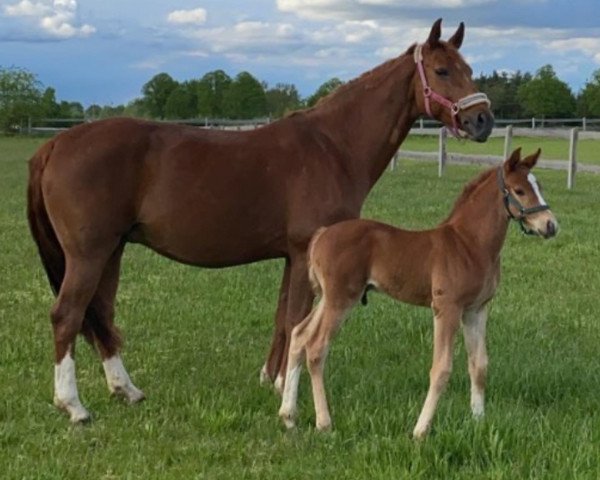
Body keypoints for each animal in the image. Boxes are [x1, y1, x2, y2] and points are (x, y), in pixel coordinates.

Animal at [278, 149, 560, 438]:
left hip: (328, 298)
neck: (469, 244)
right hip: (340, 299)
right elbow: (441, 368)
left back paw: (289, 416)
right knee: (316, 347)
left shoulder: (476, 310)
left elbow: (479, 365)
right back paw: (324, 423)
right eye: (520, 190)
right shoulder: (447, 308)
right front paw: (420, 431)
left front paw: (479, 421)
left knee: (299, 335)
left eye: (540, 186)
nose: (550, 225)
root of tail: (321, 235)